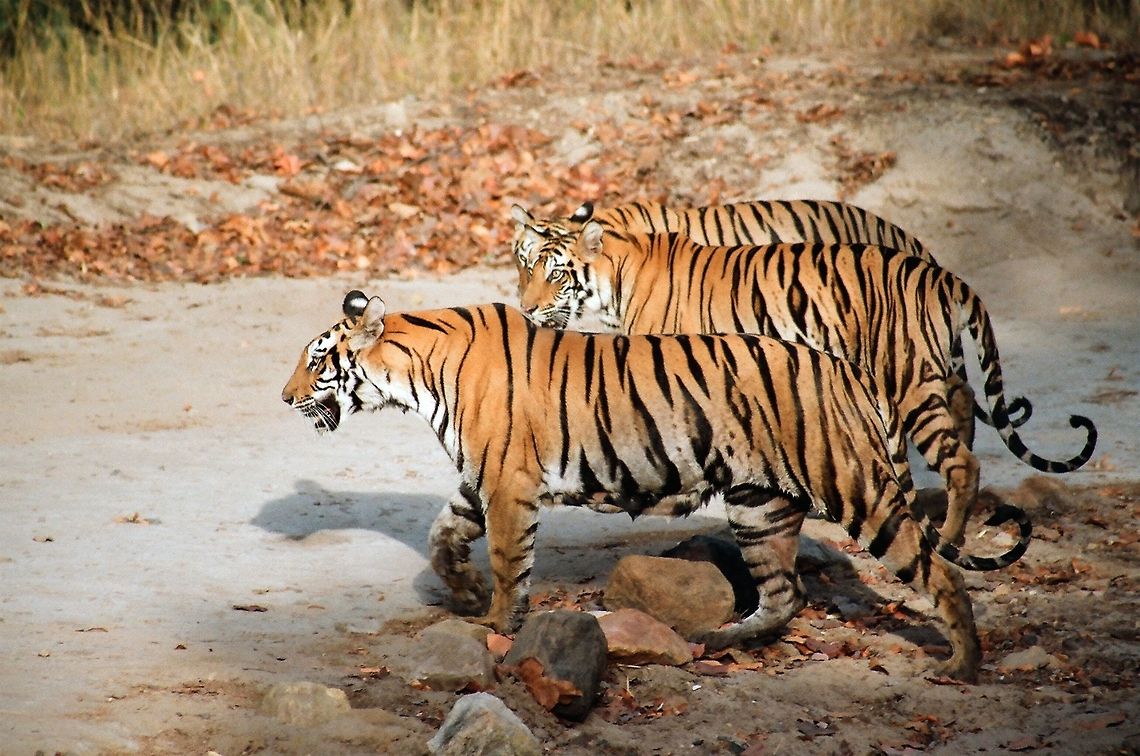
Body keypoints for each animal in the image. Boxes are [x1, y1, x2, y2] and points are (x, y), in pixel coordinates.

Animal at [282, 289, 1033, 683]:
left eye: (318, 361)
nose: (284, 397)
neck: (414, 373)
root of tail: (852, 372)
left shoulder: (507, 484)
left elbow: (506, 562)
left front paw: (495, 623)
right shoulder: (480, 479)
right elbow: (442, 536)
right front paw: (461, 589)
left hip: (856, 489)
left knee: (938, 571)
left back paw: (961, 664)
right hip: (759, 505)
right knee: (784, 593)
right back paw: (721, 640)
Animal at [516, 224, 1097, 546]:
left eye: (555, 274)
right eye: (522, 268)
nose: (523, 308)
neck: (615, 284)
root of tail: (946, 275)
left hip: (907, 380)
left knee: (962, 463)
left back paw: (950, 538)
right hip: (927, 376)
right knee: (959, 421)